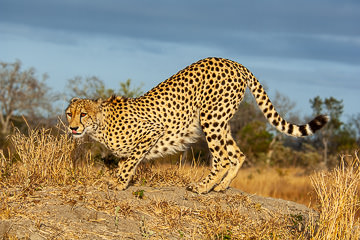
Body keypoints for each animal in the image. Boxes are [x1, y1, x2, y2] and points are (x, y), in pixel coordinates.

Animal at [66, 57, 328, 194]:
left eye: (84, 115)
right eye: (69, 114)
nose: (73, 128)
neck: (101, 125)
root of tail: (235, 62)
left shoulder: (152, 131)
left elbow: (130, 161)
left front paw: (119, 183)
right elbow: (124, 161)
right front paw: (120, 178)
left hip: (211, 119)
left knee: (222, 158)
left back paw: (202, 187)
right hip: (220, 121)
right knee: (237, 154)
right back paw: (221, 187)